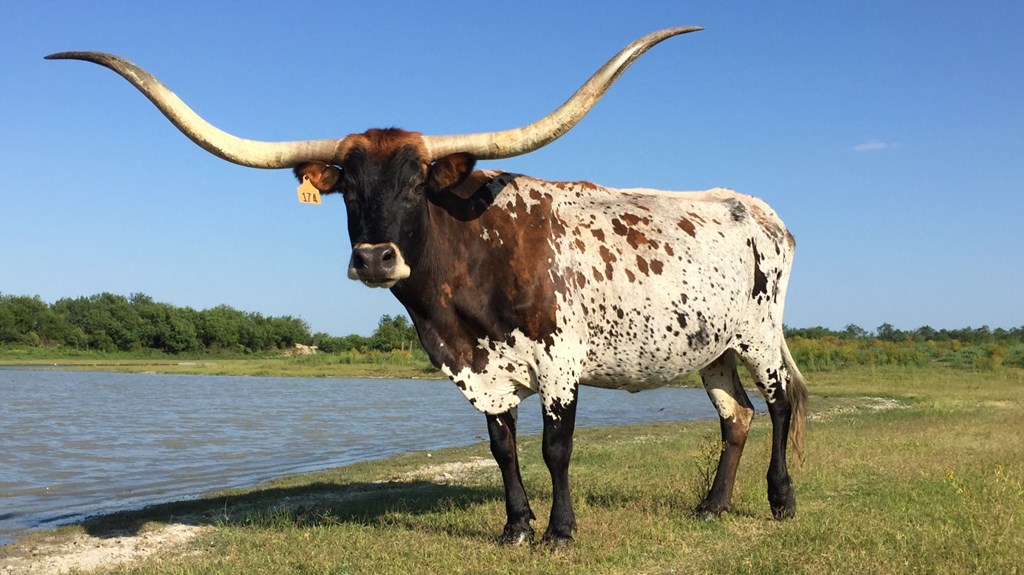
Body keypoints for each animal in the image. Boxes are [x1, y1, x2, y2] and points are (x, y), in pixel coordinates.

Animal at [48, 26, 807, 547]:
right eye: (348, 188)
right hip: (710, 347)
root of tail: (758, 210)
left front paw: (559, 531)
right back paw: (711, 506)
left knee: (777, 405)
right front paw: (515, 528)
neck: (467, 280)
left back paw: (781, 500)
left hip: (758, 336)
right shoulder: (478, 366)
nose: (375, 258)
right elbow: (502, 446)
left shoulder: (559, 363)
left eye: (417, 184)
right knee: (734, 416)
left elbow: (554, 448)